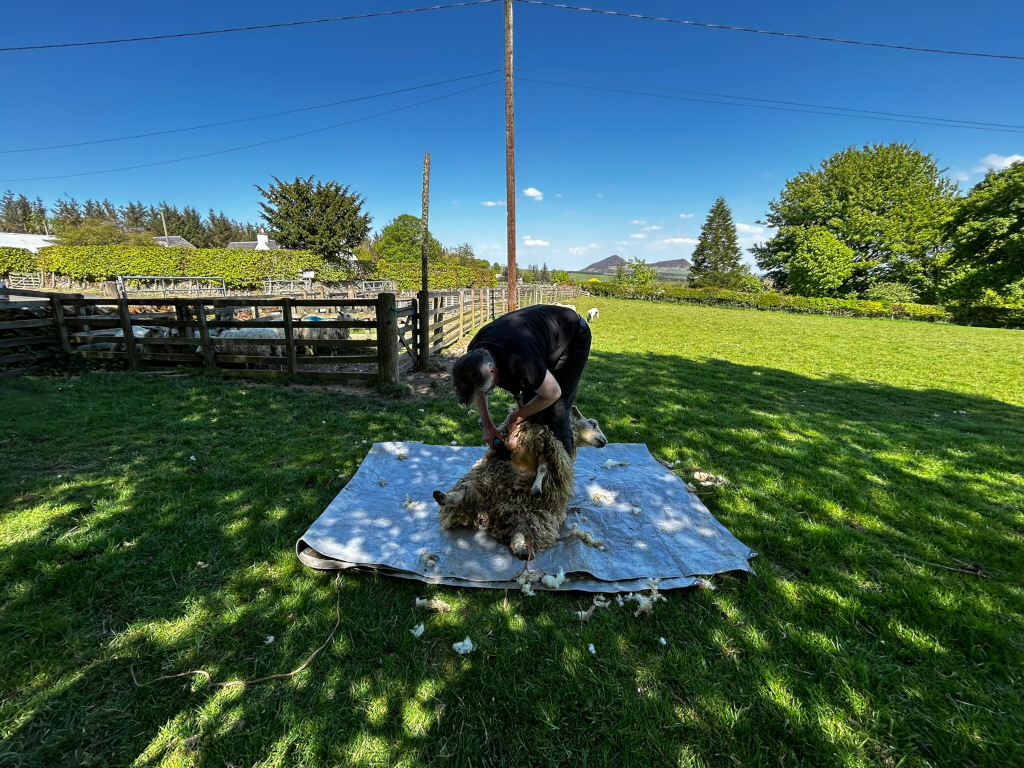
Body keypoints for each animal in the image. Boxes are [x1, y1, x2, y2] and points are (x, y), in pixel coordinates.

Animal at [433, 405, 608, 560]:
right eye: (593, 423)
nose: (604, 441)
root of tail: (490, 515)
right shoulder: (546, 442)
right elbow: (542, 466)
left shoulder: (547, 447)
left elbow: (543, 467)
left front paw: (537, 486)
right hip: (482, 486)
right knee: (463, 493)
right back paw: (442, 496)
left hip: (527, 515)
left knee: (519, 532)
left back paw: (522, 550)